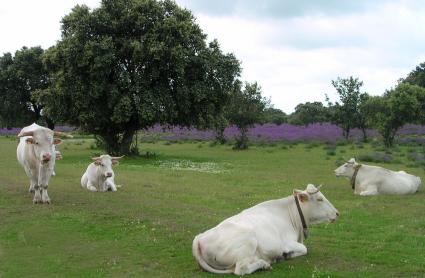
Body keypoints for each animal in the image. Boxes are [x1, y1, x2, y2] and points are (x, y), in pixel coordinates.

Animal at [192, 185, 338, 276]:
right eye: (320, 199)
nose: (337, 213)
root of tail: (200, 238)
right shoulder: (286, 243)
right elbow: (304, 249)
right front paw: (288, 255)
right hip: (249, 240)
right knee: (241, 269)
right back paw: (264, 263)